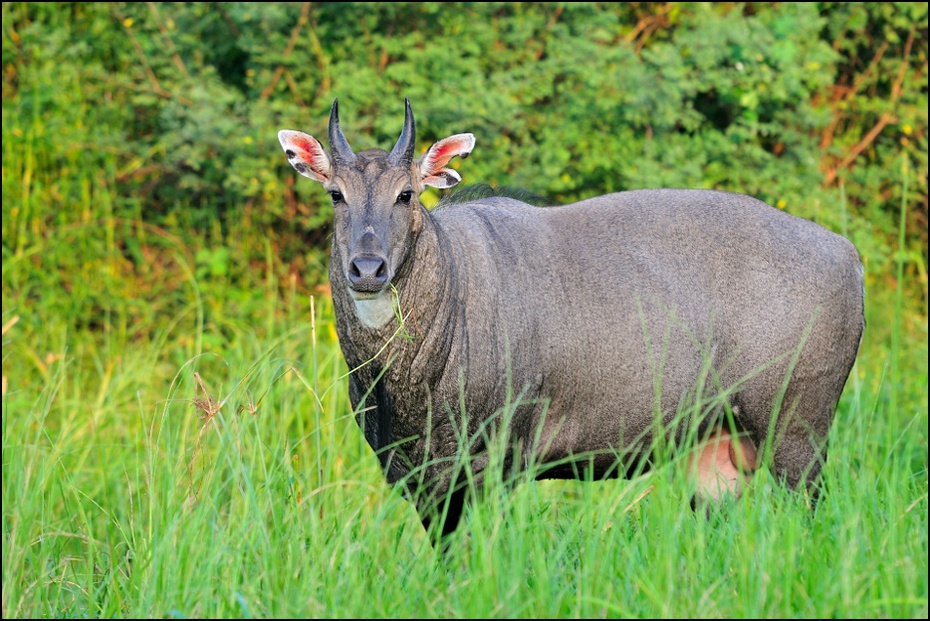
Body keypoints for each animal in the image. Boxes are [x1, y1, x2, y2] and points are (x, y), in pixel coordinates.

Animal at [278, 98, 864, 544]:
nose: (367, 269)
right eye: (336, 194)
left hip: (797, 430)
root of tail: (850, 257)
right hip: (716, 449)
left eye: (406, 193)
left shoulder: (494, 459)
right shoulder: (417, 475)